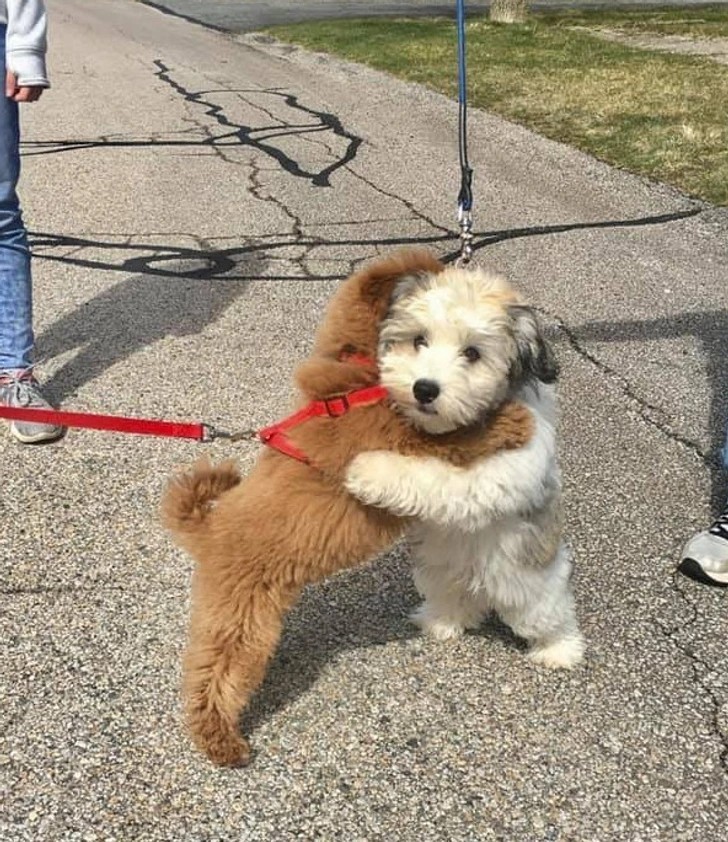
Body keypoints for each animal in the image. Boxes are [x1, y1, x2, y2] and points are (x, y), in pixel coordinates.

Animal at [161, 246, 536, 764]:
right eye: (422, 337)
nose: (424, 387)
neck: (353, 380)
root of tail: (208, 529)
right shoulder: (406, 437)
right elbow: (459, 437)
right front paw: (511, 420)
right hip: (242, 618)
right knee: (215, 675)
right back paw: (220, 739)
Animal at [346, 262, 584, 668]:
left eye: (472, 353)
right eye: (419, 340)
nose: (424, 389)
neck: (464, 426)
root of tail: (480, 582)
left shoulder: (498, 472)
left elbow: (437, 478)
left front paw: (368, 471)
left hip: (530, 582)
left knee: (547, 614)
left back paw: (560, 649)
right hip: (439, 571)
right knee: (453, 599)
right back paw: (442, 621)